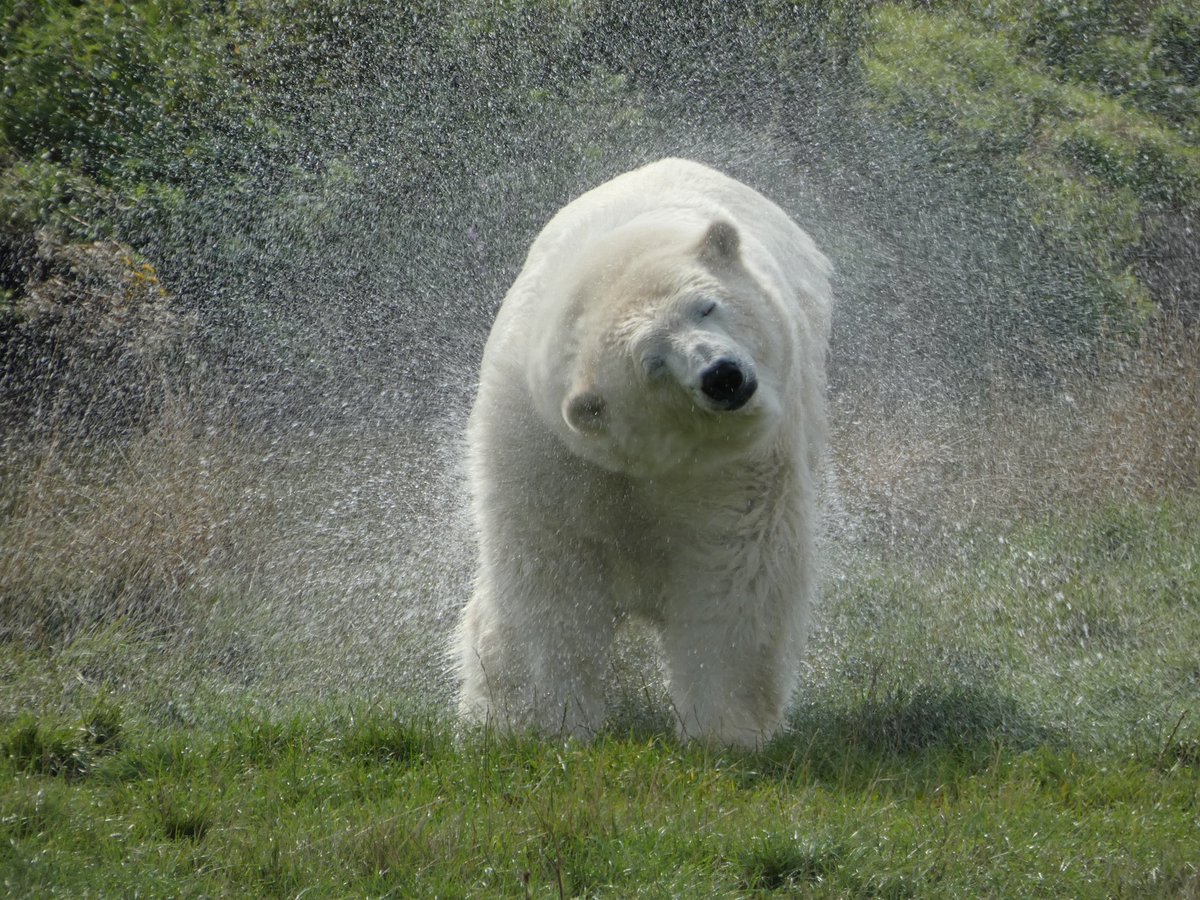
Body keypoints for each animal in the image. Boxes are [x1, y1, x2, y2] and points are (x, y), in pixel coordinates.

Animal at [455, 158, 832, 747]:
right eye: (653, 362)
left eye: (707, 305)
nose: (723, 376)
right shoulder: (540, 444)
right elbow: (550, 569)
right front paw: (549, 725)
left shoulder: (737, 462)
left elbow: (736, 563)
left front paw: (723, 729)